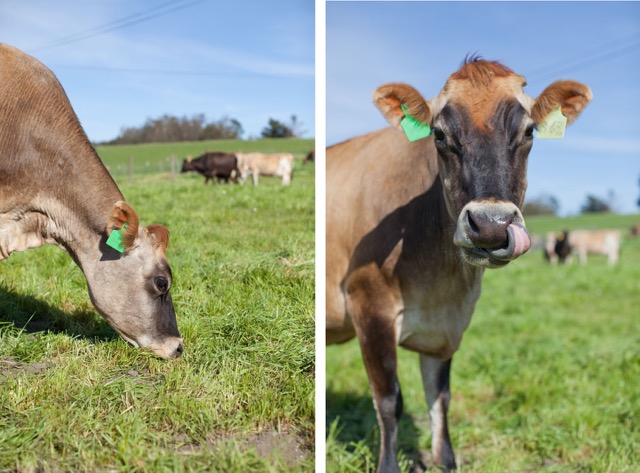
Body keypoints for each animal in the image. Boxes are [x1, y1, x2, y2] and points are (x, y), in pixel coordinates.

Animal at [328, 55, 592, 468]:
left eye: (529, 131)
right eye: (438, 134)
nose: (490, 225)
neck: (441, 281)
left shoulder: (447, 327)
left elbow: (440, 400)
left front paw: (446, 461)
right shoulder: (368, 305)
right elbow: (388, 400)